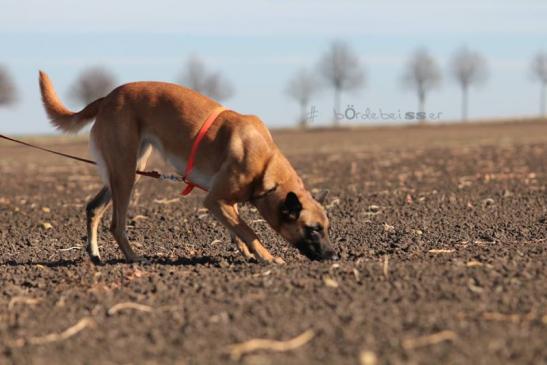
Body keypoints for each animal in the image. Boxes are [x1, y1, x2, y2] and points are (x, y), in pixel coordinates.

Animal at [38, 71, 336, 264]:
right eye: (313, 229)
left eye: (327, 228)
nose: (334, 255)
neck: (266, 167)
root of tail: (108, 97)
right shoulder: (214, 200)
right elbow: (249, 230)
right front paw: (267, 258)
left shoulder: (224, 200)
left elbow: (237, 228)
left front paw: (245, 253)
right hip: (125, 174)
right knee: (116, 224)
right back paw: (134, 258)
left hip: (127, 169)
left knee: (93, 208)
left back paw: (96, 255)